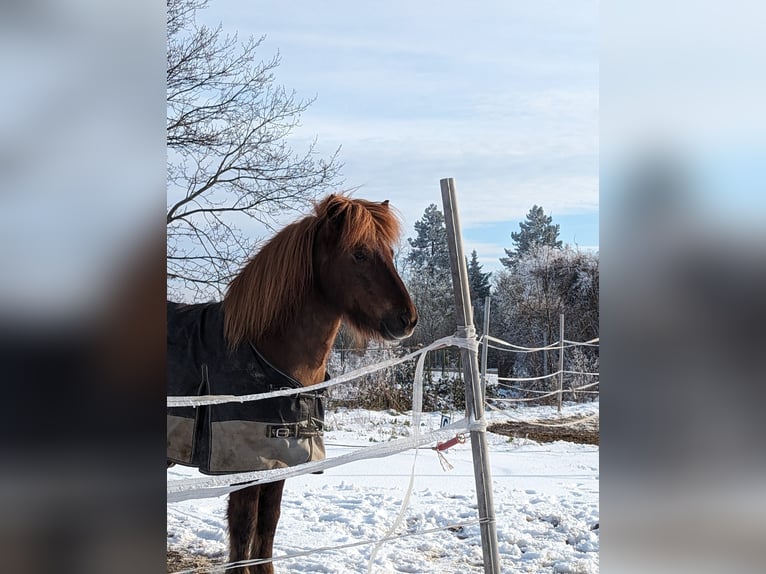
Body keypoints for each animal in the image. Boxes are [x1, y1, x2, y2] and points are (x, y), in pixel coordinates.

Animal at [168, 194, 418, 574]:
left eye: (389, 252)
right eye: (359, 253)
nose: (407, 319)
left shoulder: (278, 464)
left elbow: (267, 529)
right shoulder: (245, 467)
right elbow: (244, 532)